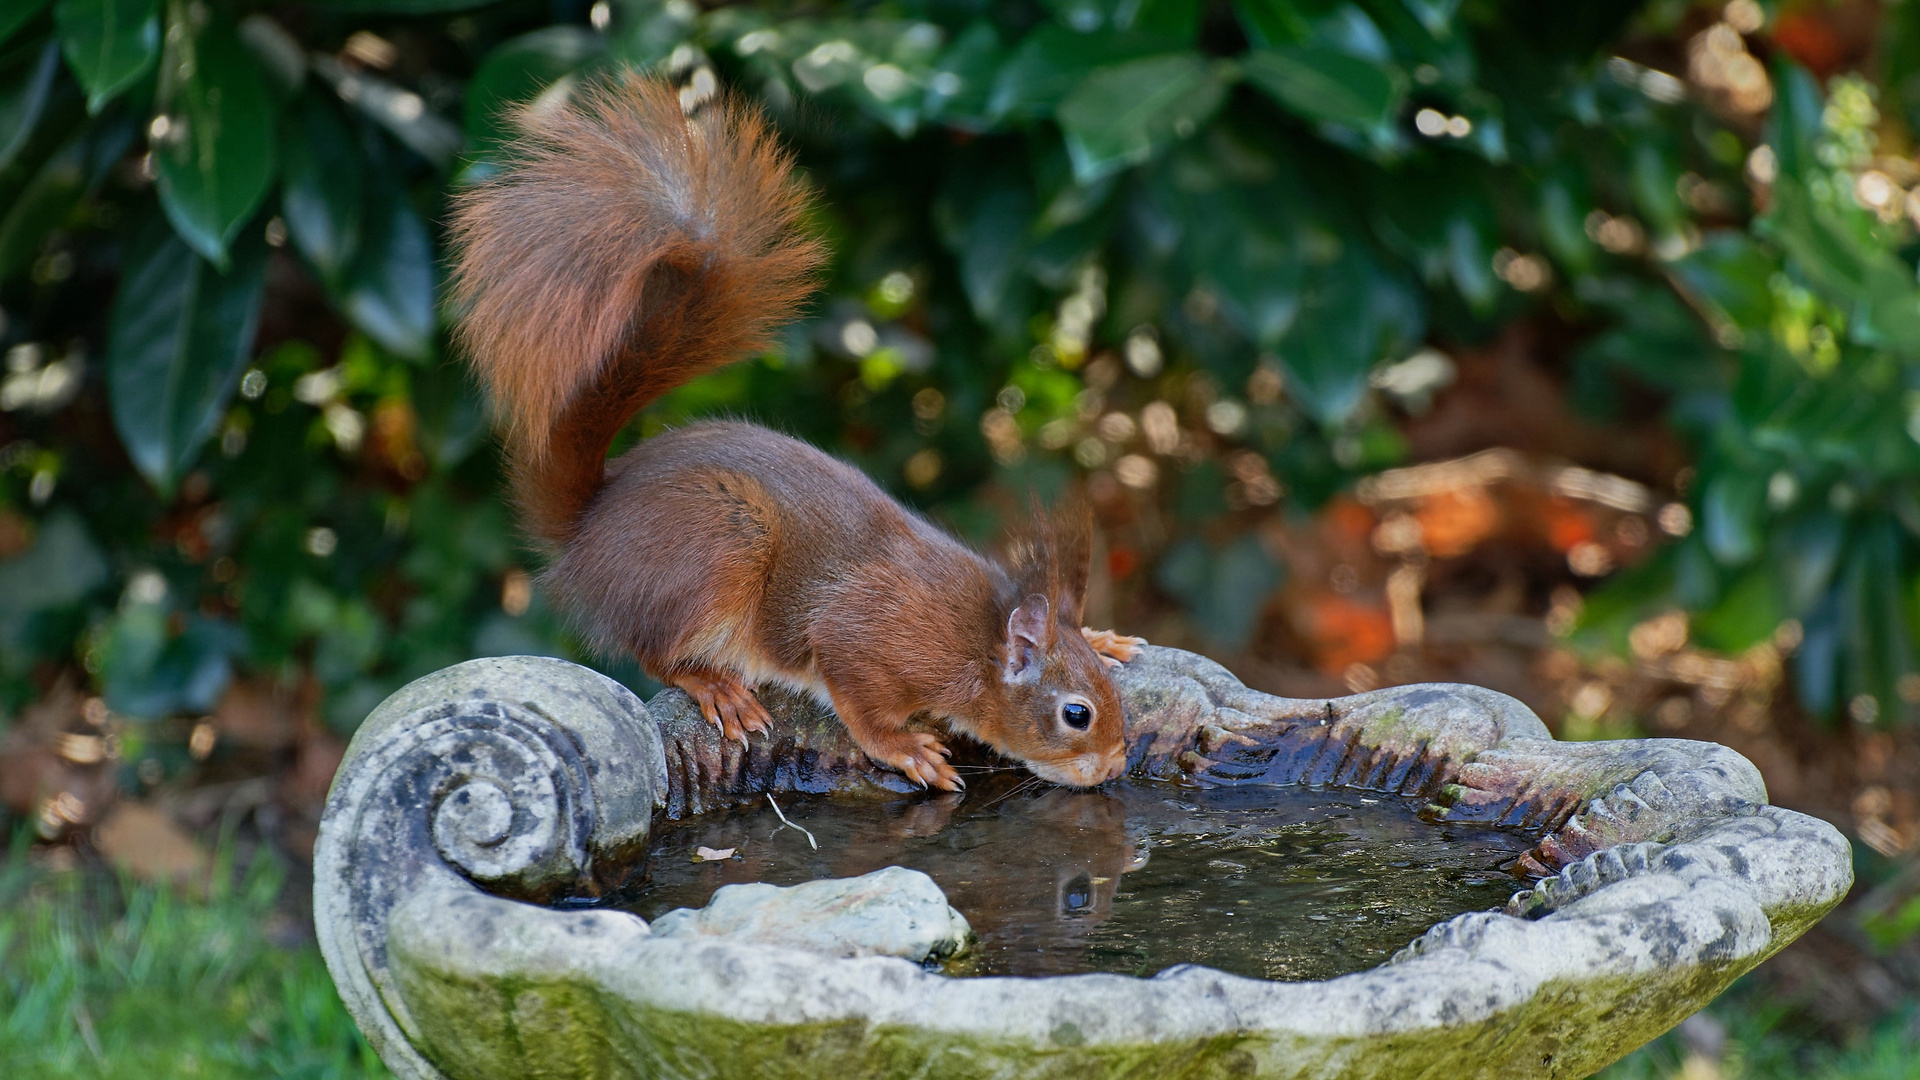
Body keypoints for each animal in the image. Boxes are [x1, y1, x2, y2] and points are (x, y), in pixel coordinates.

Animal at [445, 71, 1136, 787]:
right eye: (1076, 714)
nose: (1117, 765)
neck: (979, 641)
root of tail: (588, 528)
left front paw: (1106, 638)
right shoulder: (868, 638)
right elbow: (856, 696)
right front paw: (906, 749)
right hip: (717, 544)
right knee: (654, 652)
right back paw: (714, 684)